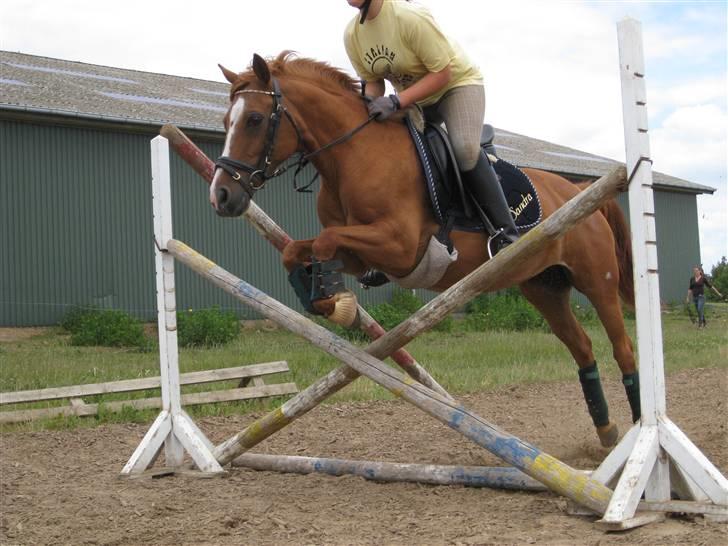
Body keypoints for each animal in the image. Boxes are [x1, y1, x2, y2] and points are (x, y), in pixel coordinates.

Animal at [205, 50, 636, 446]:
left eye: (254, 120)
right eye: (225, 123)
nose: (221, 196)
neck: (352, 157)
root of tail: (576, 187)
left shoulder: (400, 245)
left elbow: (325, 242)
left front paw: (337, 304)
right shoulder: (360, 254)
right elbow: (298, 250)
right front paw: (328, 300)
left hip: (597, 281)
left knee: (622, 348)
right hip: (545, 287)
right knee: (582, 348)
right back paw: (607, 432)